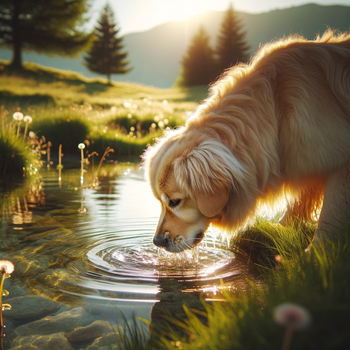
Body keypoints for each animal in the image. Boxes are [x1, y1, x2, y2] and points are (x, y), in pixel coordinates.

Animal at [141, 28, 350, 252]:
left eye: (175, 202)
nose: (157, 241)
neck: (276, 112)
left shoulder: (340, 164)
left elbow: (329, 215)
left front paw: (313, 255)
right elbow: (298, 203)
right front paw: (279, 232)